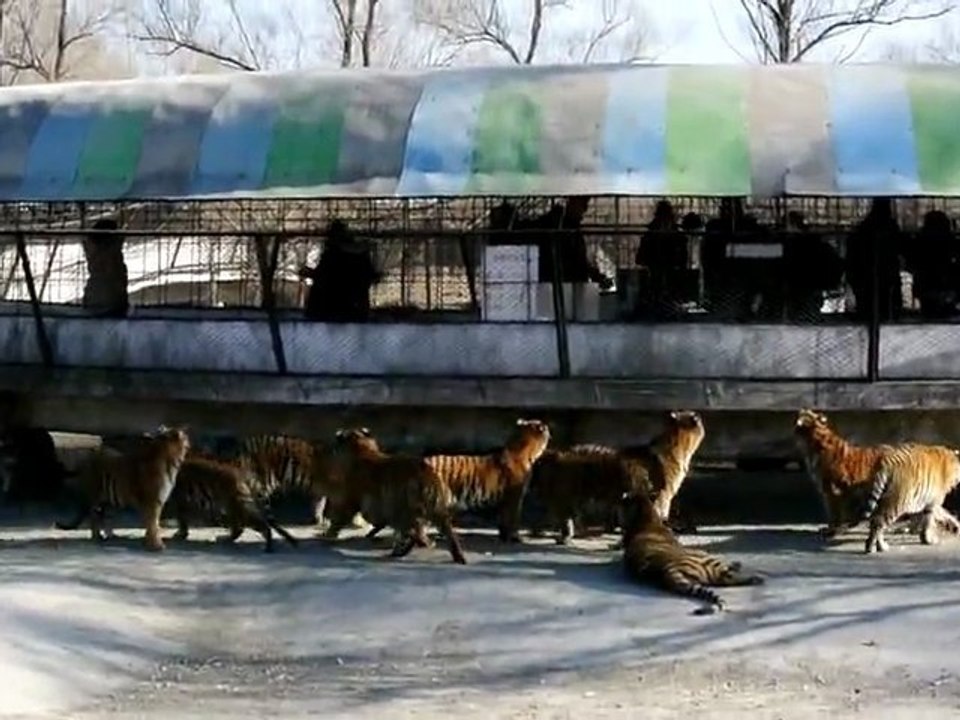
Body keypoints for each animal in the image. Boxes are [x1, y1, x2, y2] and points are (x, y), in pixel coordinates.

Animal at [54, 425, 191, 551]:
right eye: (184, 437)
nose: (189, 443)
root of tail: (91, 455)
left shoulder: (158, 501)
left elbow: (152, 523)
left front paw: (148, 542)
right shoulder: (152, 501)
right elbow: (152, 523)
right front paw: (156, 545)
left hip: (109, 501)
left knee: (105, 517)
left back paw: (111, 536)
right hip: (95, 496)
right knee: (94, 516)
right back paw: (96, 537)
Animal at [169, 451, 299, 553]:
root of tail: (242, 474)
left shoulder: (179, 500)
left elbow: (181, 518)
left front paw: (181, 534)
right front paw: (182, 533)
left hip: (236, 506)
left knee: (251, 526)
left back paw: (267, 547)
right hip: (236, 507)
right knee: (242, 527)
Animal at [332, 427, 465, 563]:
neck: (360, 448)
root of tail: (425, 476)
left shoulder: (357, 497)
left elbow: (346, 512)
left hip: (402, 505)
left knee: (411, 528)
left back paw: (420, 543)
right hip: (435, 506)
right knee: (443, 528)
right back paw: (455, 554)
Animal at [420, 419, 551, 544]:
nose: (548, 429)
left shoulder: (505, 499)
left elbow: (504, 518)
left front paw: (504, 536)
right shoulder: (515, 495)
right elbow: (514, 518)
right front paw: (515, 537)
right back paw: (425, 541)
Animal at [529, 411, 705, 545]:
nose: (699, 416)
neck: (676, 447)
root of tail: (559, 454)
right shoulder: (663, 495)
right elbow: (660, 514)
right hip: (568, 493)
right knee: (562, 516)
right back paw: (561, 536)